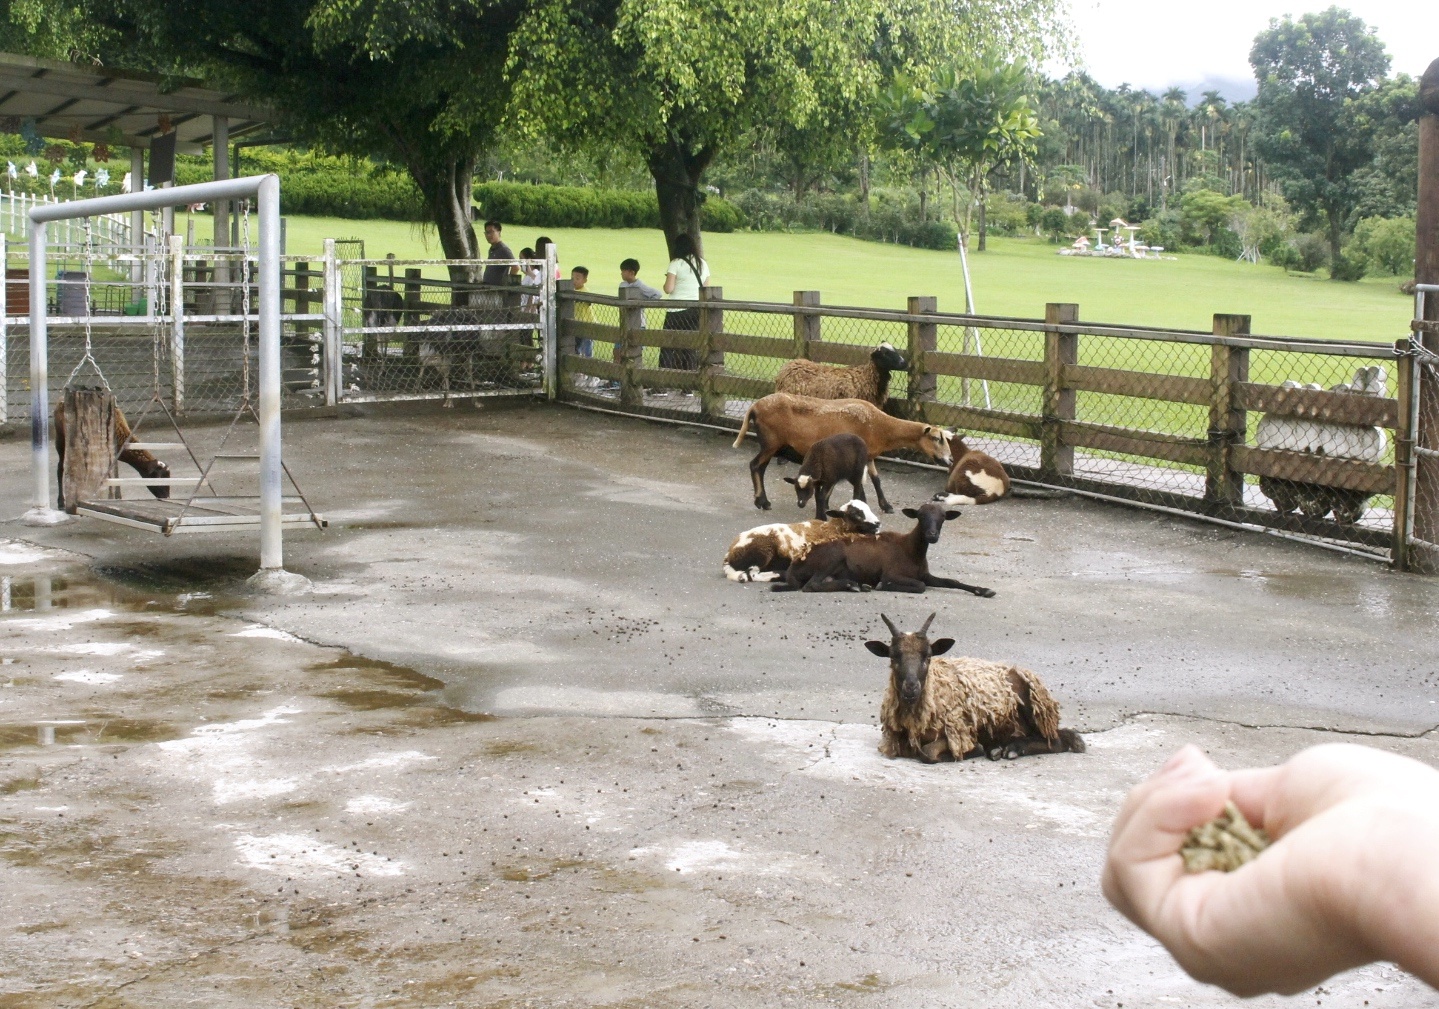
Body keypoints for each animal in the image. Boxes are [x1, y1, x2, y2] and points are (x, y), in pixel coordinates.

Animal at [725, 498, 880, 581]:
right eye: (855, 514)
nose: (878, 523)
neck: (833, 529)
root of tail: (729, 555)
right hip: (762, 552)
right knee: (752, 574)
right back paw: (778, 574)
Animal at [731, 388, 955, 506]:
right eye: (936, 438)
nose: (951, 460)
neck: (881, 427)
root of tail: (754, 406)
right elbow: (862, 483)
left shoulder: (869, 455)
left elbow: (876, 480)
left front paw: (886, 506)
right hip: (770, 443)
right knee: (755, 466)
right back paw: (762, 502)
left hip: (771, 445)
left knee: (760, 468)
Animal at [771, 500, 995, 593]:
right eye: (921, 516)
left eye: (942, 518)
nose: (932, 535)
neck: (911, 551)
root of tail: (794, 565)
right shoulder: (891, 573)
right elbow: (920, 586)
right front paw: (882, 585)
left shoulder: (925, 574)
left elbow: (952, 581)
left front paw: (983, 590)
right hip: (831, 557)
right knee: (811, 585)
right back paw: (854, 585)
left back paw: (856, 585)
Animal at [863, 607, 1082, 765]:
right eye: (893, 657)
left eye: (928, 656)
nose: (911, 688)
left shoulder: (958, 731)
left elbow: (927, 753)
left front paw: (973, 750)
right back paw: (999, 748)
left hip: (1034, 709)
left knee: (1057, 740)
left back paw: (1011, 749)